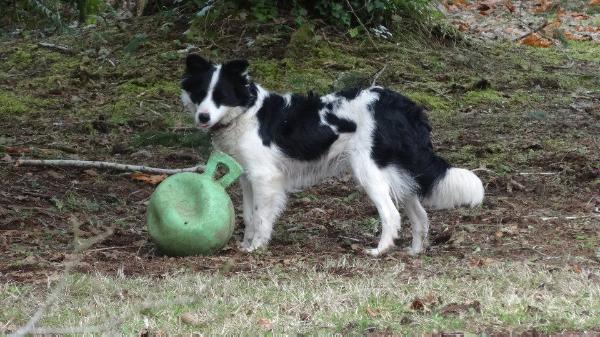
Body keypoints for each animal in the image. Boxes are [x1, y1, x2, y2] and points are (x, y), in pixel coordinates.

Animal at [180, 54, 486, 255]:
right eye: (200, 94)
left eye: (221, 96)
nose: (203, 117)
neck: (246, 113)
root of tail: (403, 105)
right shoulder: (246, 178)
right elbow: (248, 214)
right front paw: (246, 245)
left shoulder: (265, 178)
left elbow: (261, 216)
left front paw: (256, 247)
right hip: (397, 173)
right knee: (420, 216)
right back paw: (415, 251)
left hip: (369, 171)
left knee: (391, 215)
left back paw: (380, 250)